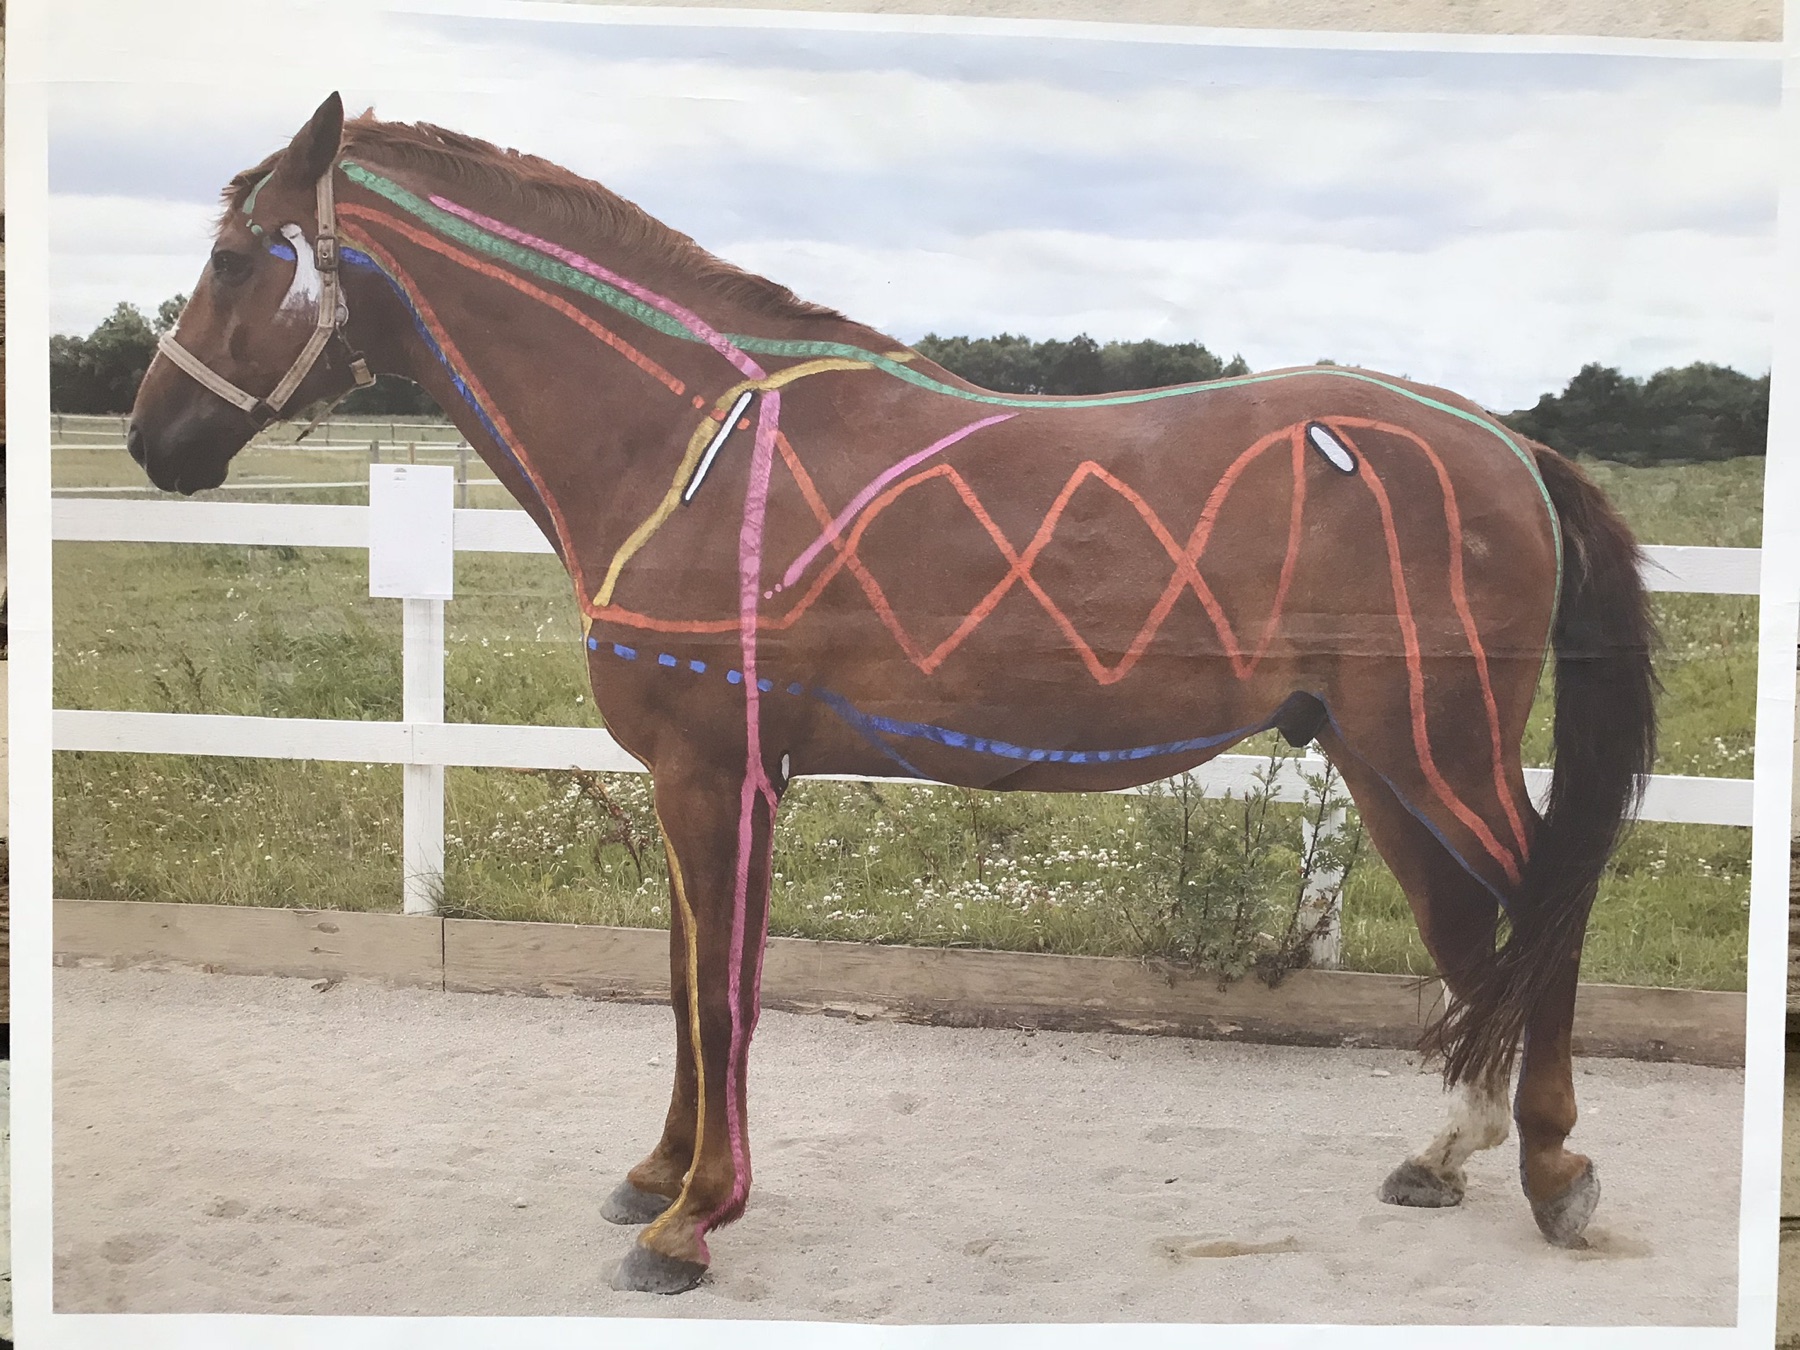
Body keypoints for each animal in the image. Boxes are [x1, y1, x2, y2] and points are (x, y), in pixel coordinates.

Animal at [127, 93, 1657, 1296]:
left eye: (230, 256)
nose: (155, 442)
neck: (688, 445)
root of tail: (1510, 446)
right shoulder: (693, 779)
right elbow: (683, 985)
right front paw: (656, 1176)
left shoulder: (720, 776)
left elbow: (722, 999)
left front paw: (694, 1220)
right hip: (1382, 755)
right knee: (1475, 924)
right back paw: (1450, 1149)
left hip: (1439, 745)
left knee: (1551, 904)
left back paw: (1557, 1166)